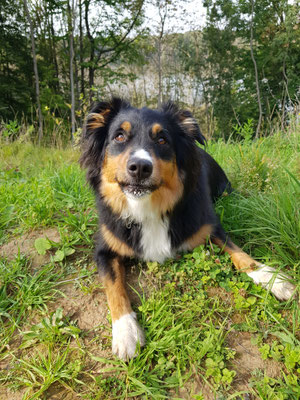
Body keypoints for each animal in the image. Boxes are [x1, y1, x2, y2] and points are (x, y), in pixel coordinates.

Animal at [79, 98, 296, 360]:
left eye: (162, 139)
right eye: (119, 136)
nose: (140, 167)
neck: (148, 207)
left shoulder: (209, 226)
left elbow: (240, 254)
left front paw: (272, 278)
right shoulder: (104, 248)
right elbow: (114, 287)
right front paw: (126, 332)